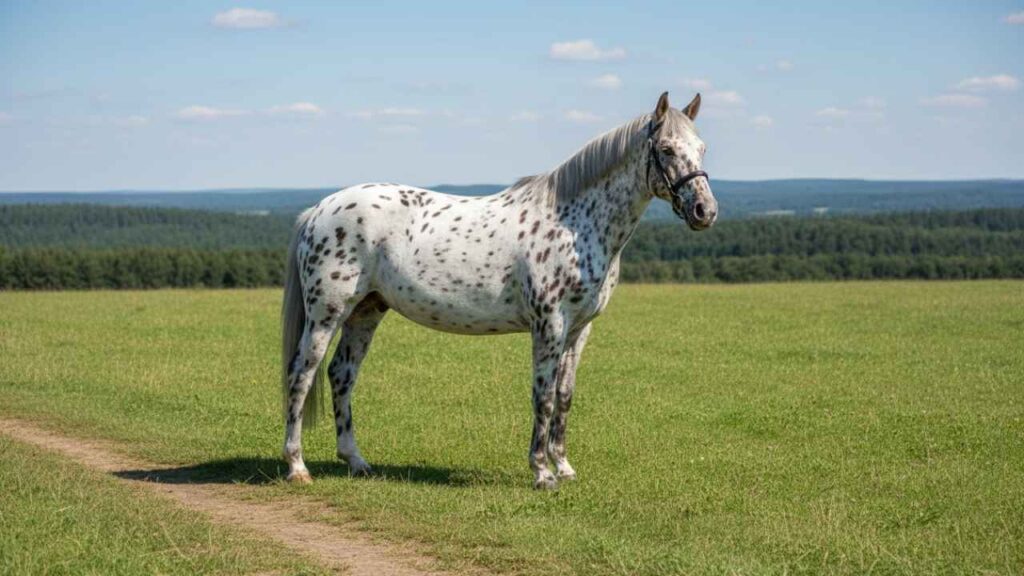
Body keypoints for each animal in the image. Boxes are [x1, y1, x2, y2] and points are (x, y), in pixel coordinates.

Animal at [280, 91, 718, 489]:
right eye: (666, 149)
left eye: (701, 149)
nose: (705, 211)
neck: (575, 223)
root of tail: (317, 211)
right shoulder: (549, 325)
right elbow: (542, 395)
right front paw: (542, 474)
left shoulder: (579, 329)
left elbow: (564, 396)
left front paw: (564, 468)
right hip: (326, 314)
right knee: (302, 374)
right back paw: (298, 468)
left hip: (366, 310)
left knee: (342, 375)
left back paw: (356, 461)